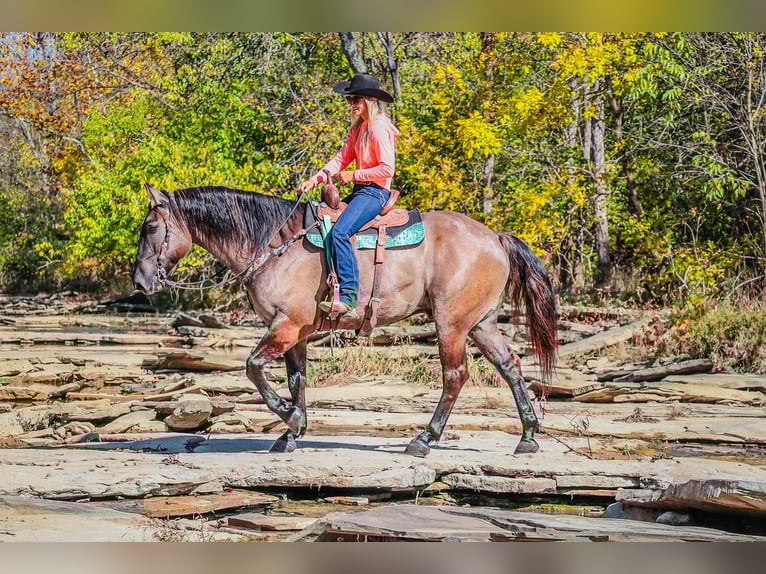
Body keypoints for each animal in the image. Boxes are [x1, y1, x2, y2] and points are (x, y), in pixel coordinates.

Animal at [132, 183, 557, 457]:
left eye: (151, 227)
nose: (139, 281)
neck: (273, 244)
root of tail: (495, 237)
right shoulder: (296, 332)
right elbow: (296, 380)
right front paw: (292, 432)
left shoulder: (286, 325)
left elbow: (253, 367)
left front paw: (290, 418)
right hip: (481, 323)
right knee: (510, 365)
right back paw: (527, 437)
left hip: (451, 323)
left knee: (455, 376)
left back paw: (424, 439)